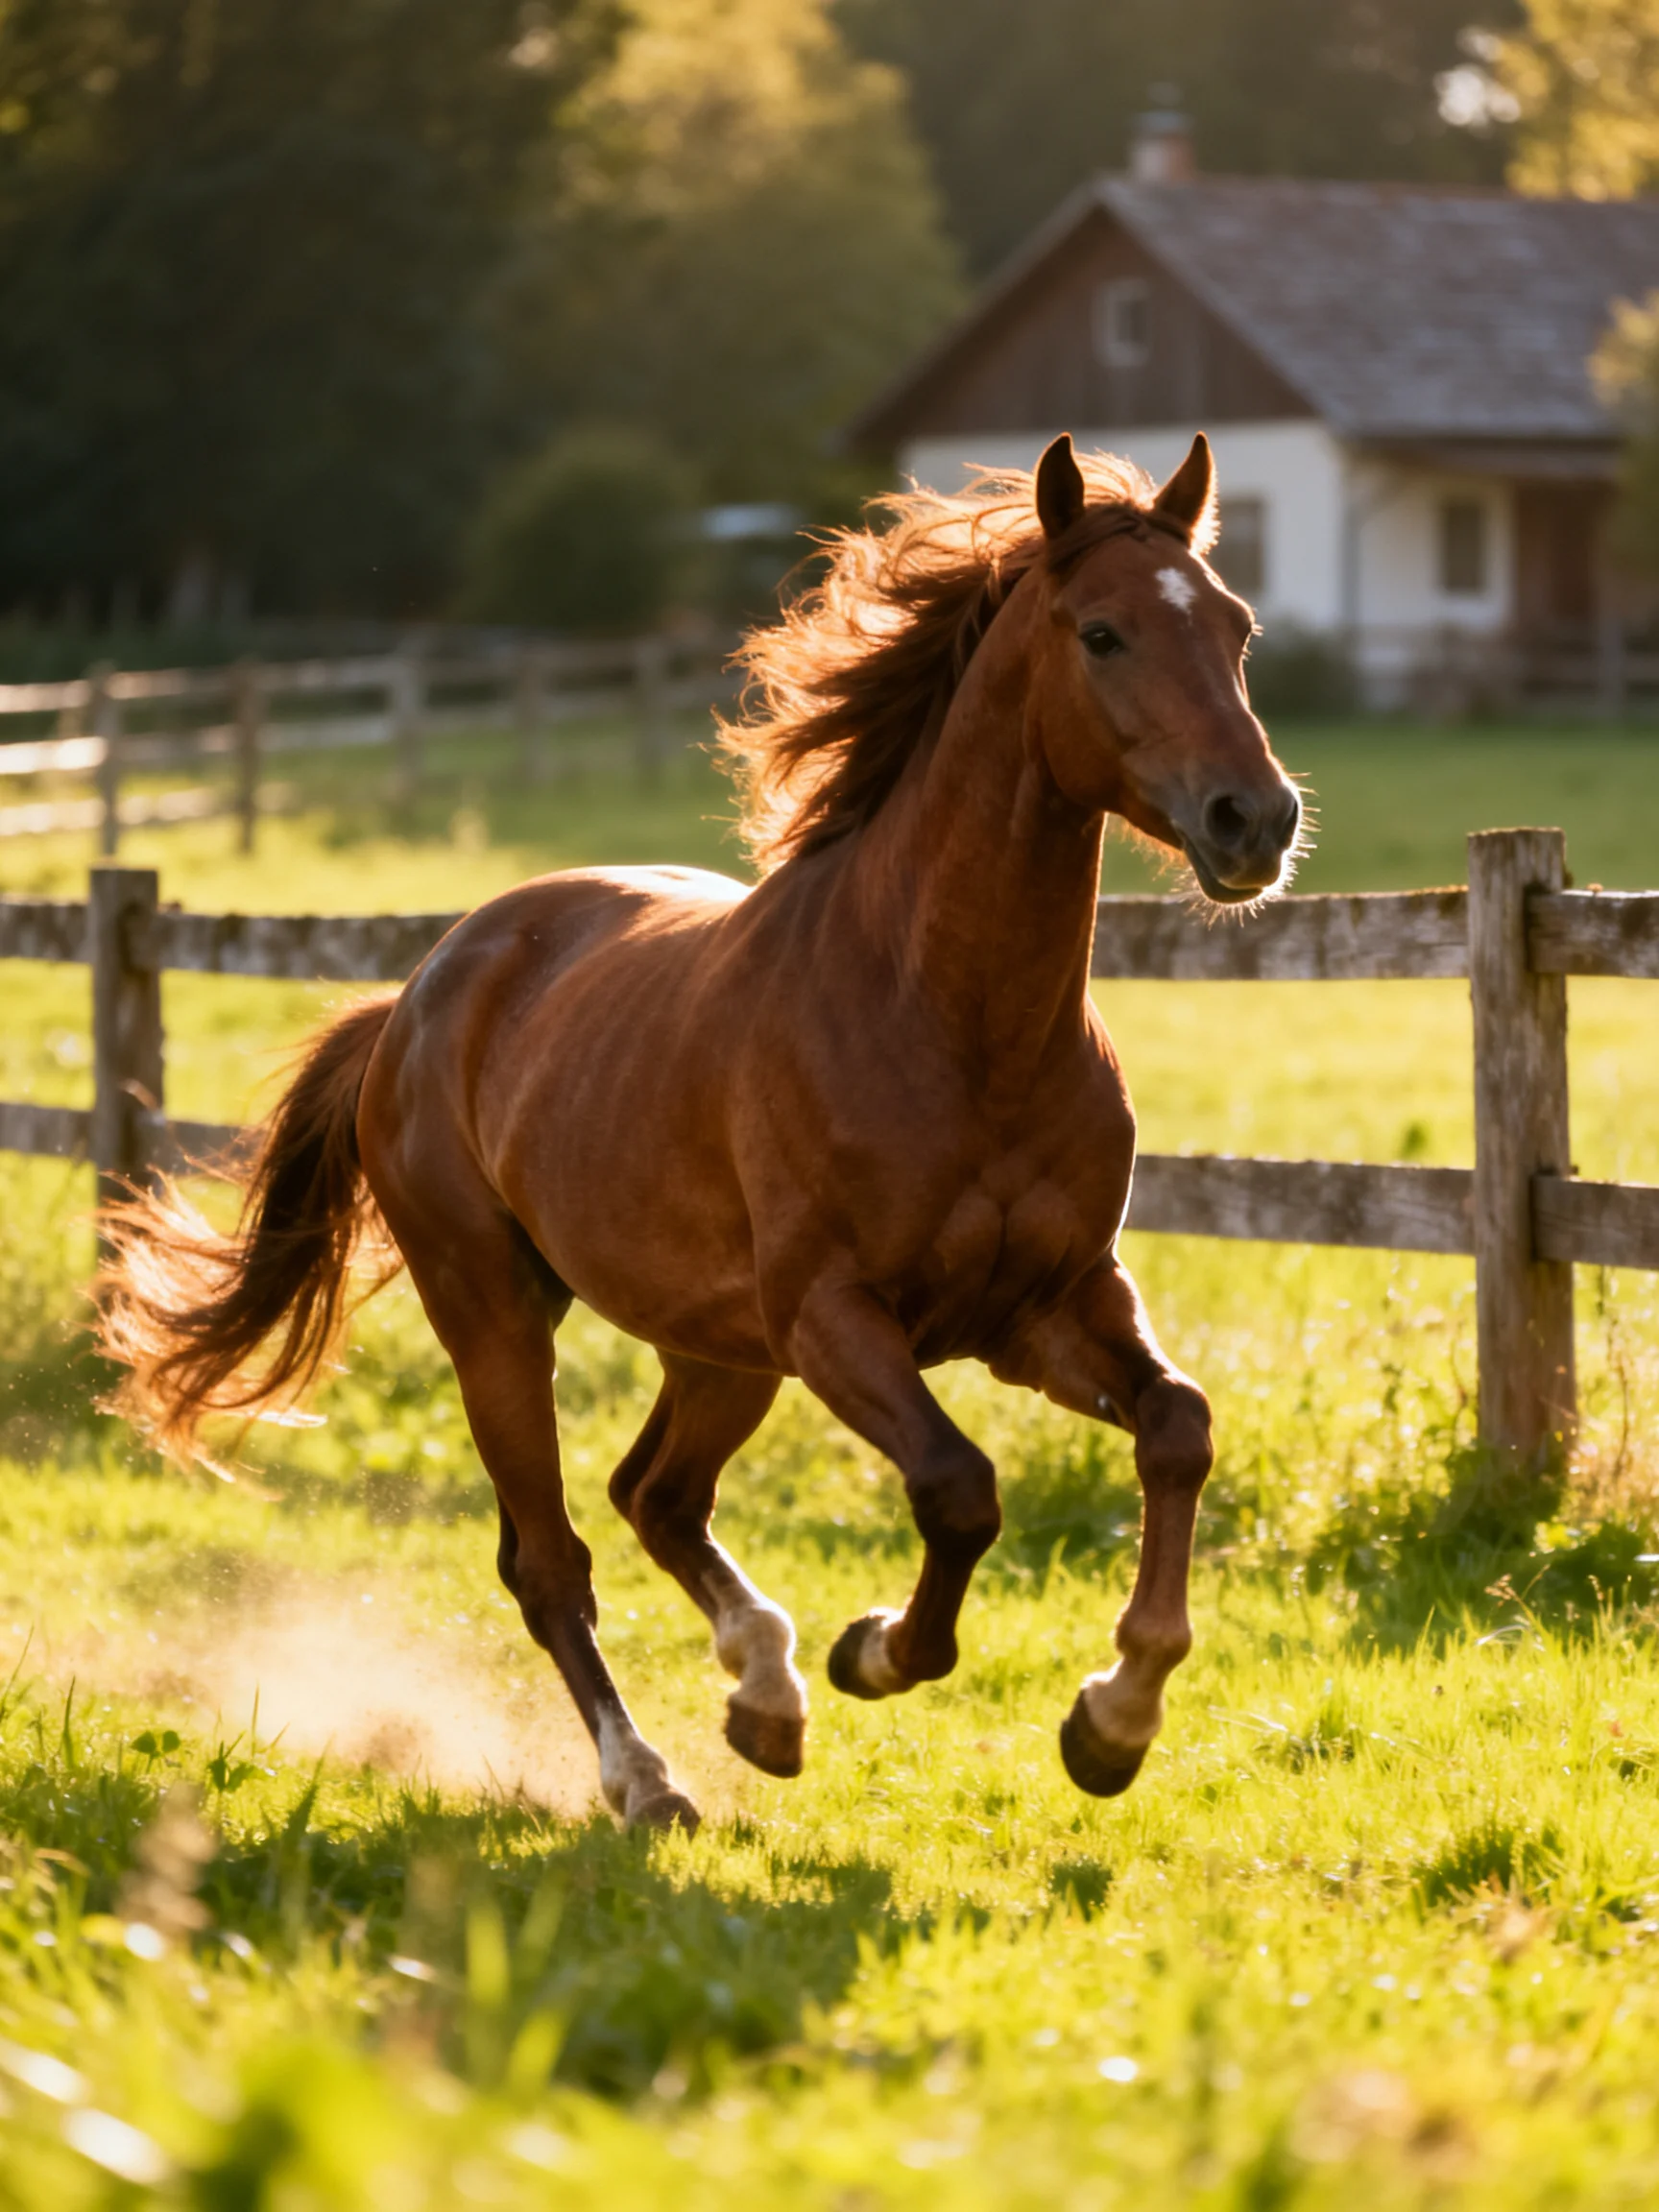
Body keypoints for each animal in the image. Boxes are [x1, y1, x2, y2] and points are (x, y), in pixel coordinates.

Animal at [100, 433, 1304, 1833]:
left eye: (1236, 627)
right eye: (1103, 633)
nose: (1255, 821)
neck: (951, 1020)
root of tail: (416, 999)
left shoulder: (1047, 1307)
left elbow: (1178, 1429)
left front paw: (1112, 1723)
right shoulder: (837, 1317)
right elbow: (959, 1490)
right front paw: (876, 1651)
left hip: (720, 1347)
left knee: (656, 1495)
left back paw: (762, 1698)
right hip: (500, 1318)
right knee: (550, 1557)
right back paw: (650, 1779)